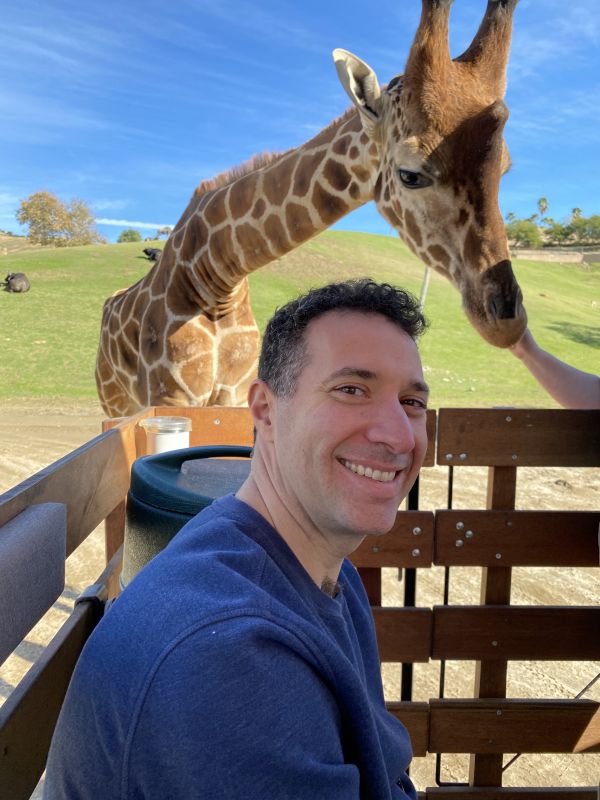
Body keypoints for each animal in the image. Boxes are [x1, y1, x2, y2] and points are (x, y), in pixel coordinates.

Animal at [97, 0, 524, 422]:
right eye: (410, 174)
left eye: (504, 167)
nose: (507, 320)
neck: (215, 276)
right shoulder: (170, 396)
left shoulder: (232, 395)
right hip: (116, 402)